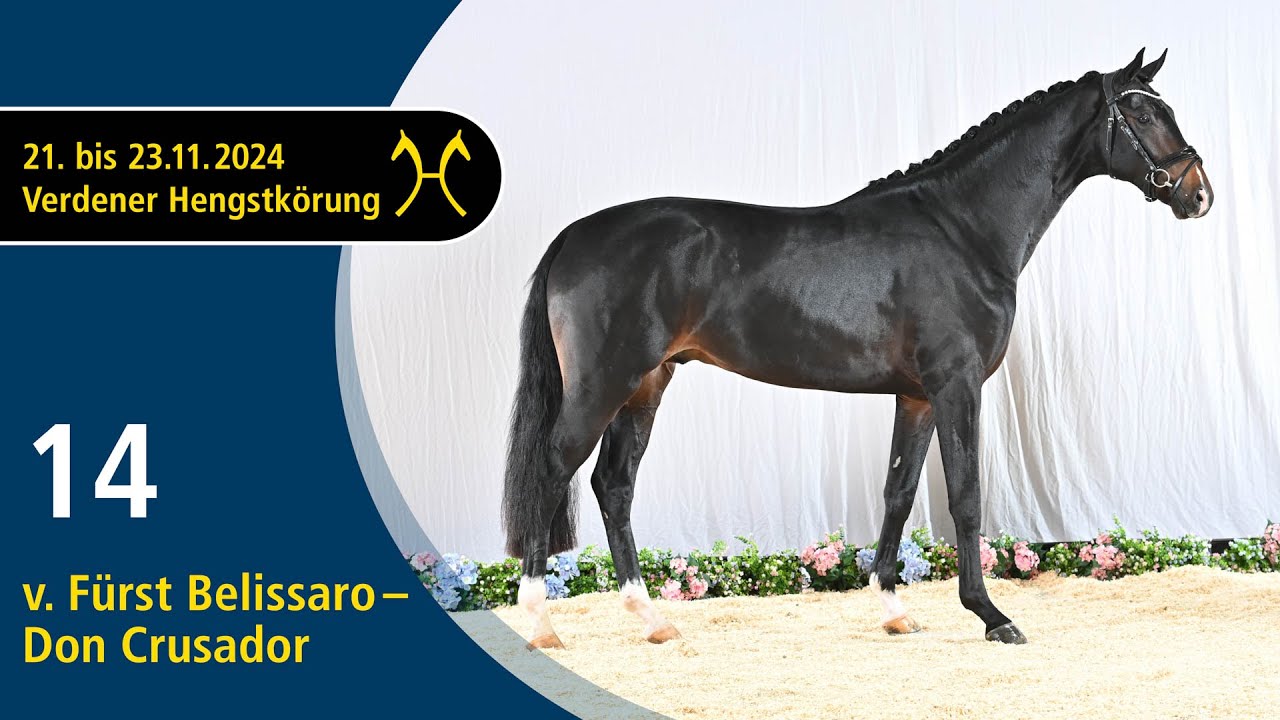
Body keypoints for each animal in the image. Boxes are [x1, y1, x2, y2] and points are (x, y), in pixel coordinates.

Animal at [502, 48, 1212, 648]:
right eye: (1143, 111)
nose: (1198, 192)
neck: (962, 228)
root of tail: (574, 235)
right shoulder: (957, 386)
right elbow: (965, 496)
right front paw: (992, 616)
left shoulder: (917, 396)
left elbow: (899, 490)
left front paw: (896, 611)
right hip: (603, 384)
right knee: (552, 471)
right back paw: (540, 624)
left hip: (646, 383)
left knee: (614, 484)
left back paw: (652, 621)